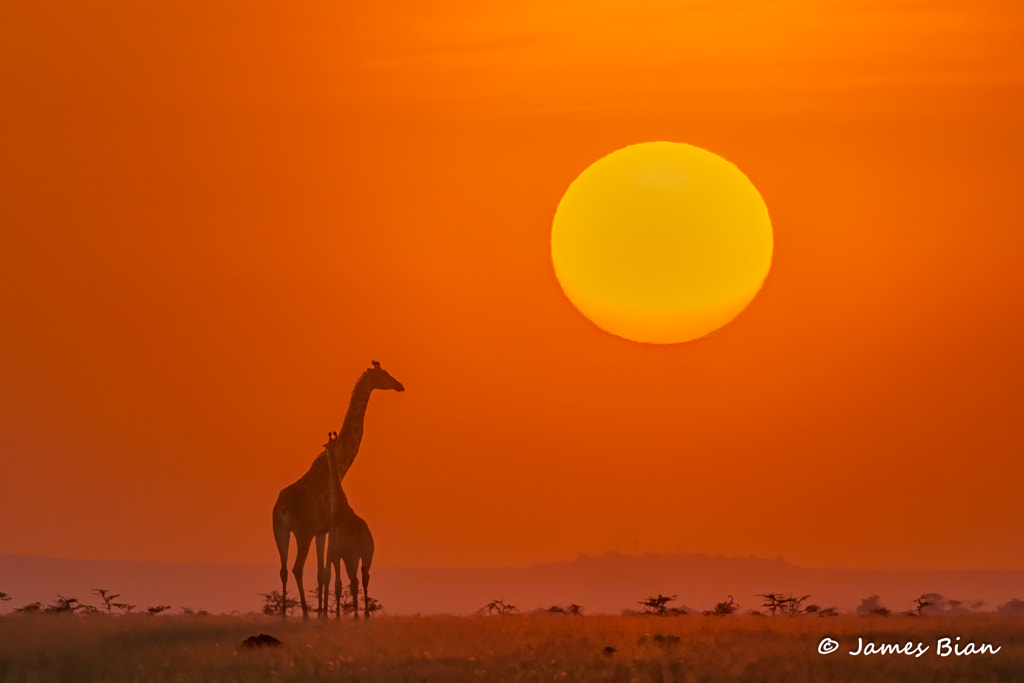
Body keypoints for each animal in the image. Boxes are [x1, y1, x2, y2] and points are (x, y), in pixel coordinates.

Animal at [319, 432, 376, 618]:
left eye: (328, 446)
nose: (324, 456)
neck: (339, 507)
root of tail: (365, 537)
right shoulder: (341, 554)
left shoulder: (336, 551)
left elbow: (338, 584)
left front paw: (337, 616)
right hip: (367, 555)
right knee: (365, 578)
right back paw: (365, 615)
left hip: (353, 556)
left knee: (355, 580)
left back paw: (358, 615)